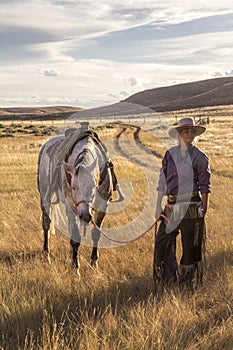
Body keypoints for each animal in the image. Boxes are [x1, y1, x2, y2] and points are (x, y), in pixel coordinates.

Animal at [37, 127, 124, 274]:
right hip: (45, 197)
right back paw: (46, 254)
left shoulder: (103, 205)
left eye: (94, 186)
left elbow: (95, 234)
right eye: (73, 186)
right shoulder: (72, 206)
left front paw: (93, 263)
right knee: (46, 223)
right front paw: (75, 268)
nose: (85, 215)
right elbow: (76, 237)